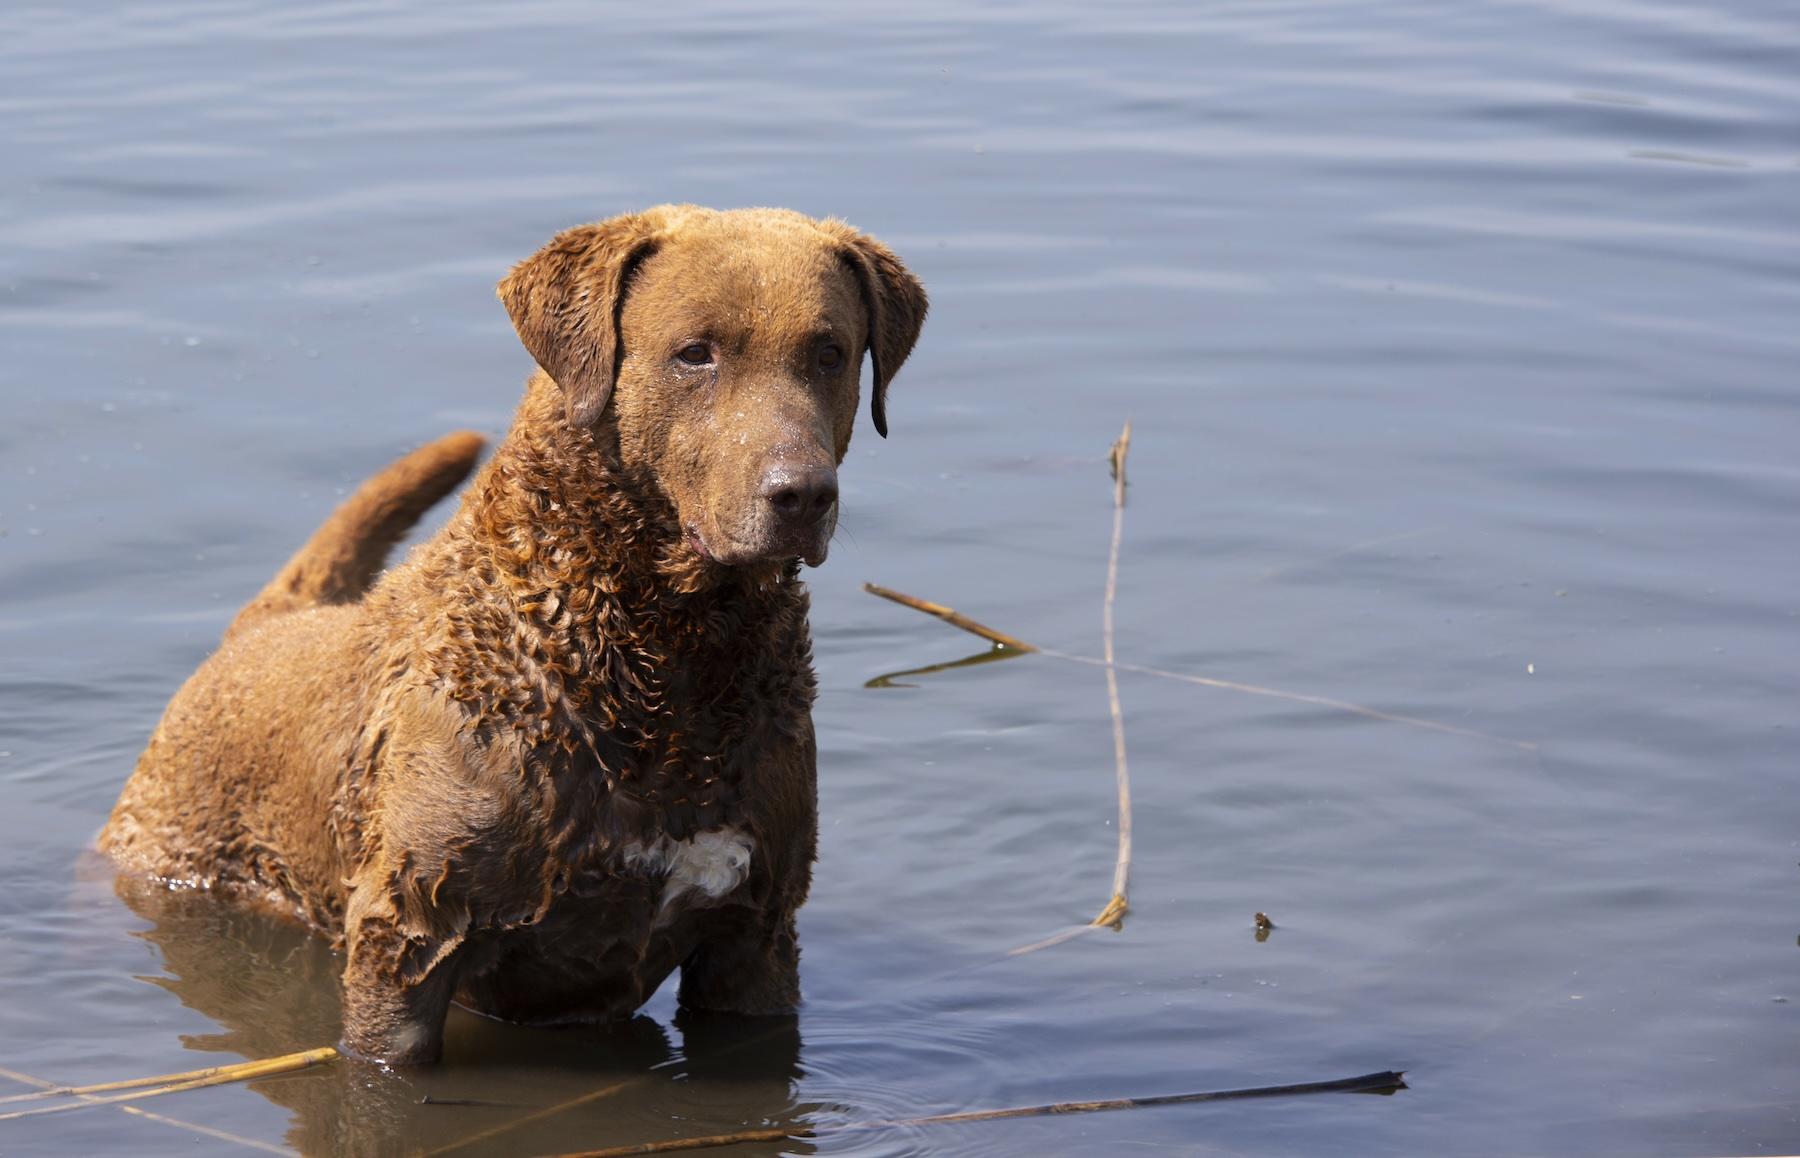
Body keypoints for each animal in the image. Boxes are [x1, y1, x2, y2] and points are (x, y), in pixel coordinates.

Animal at [102, 206, 928, 1058]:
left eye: (830, 353)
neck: (664, 662)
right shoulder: (406, 941)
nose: (803, 495)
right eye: (696, 352)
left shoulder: (757, 935)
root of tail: (258, 628)